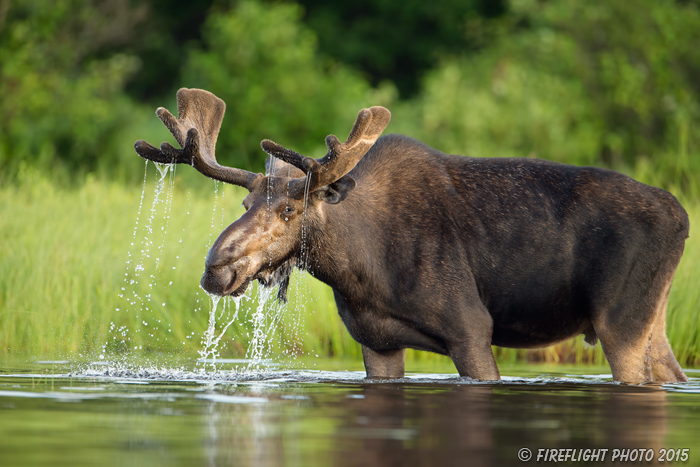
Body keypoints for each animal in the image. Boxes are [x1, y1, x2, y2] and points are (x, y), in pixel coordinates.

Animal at [135, 88, 688, 384]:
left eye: (290, 209)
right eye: (245, 206)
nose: (216, 268)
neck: (360, 270)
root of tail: (682, 216)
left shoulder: (471, 329)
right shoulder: (376, 342)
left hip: (619, 322)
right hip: (652, 320)